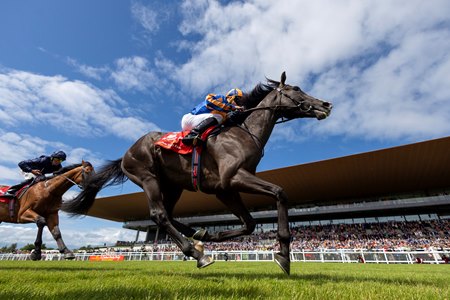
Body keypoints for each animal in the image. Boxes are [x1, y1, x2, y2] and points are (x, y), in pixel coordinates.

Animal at [61, 72, 332, 274]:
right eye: (296, 88)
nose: (326, 104)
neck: (243, 134)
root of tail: (126, 154)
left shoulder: (225, 189)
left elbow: (250, 224)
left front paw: (215, 235)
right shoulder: (234, 177)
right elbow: (279, 193)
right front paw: (284, 255)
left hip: (173, 186)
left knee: (168, 215)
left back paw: (198, 236)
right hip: (147, 177)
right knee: (159, 215)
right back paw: (196, 253)